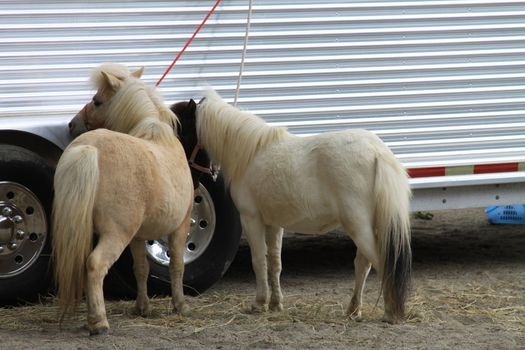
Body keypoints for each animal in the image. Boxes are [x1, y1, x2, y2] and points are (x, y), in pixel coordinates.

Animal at [52, 62, 194, 334]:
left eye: (97, 101)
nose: (72, 124)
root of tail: (89, 149)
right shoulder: (180, 227)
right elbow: (177, 265)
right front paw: (180, 305)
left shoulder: (137, 237)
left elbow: (141, 269)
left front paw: (142, 307)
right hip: (116, 234)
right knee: (95, 265)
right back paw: (98, 322)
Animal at [180, 90, 414, 322]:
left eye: (182, 133)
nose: (189, 183)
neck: (250, 153)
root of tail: (376, 151)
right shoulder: (274, 223)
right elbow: (275, 263)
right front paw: (275, 304)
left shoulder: (251, 218)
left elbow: (259, 261)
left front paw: (259, 303)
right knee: (363, 265)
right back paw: (353, 310)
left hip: (358, 226)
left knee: (382, 263)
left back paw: (390, 312)